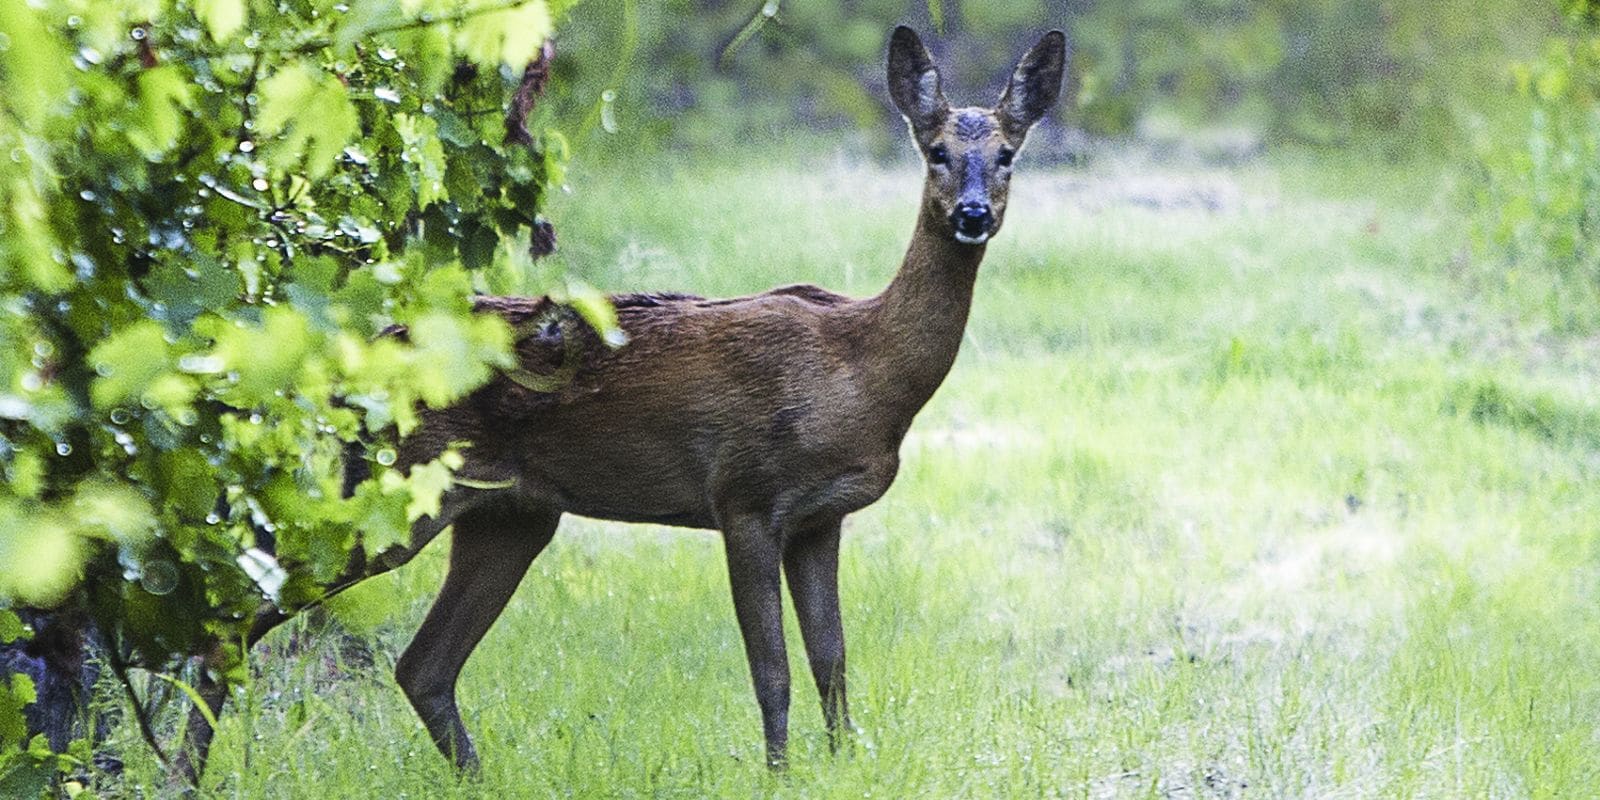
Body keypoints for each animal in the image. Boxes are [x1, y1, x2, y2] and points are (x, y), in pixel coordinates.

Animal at [179, 25, 1067, 781]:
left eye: (1009, 155)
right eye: (937, 152)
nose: (973, 215)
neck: (863, 370)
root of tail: (359, 357)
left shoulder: (821, 519)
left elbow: (833, 663)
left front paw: (843, 764)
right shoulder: (744, 494)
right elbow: (773, 670)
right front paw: (780, 777)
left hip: (511, 515)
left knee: (421, 665)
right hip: (395, 483)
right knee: (237, 615)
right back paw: (181, 771)